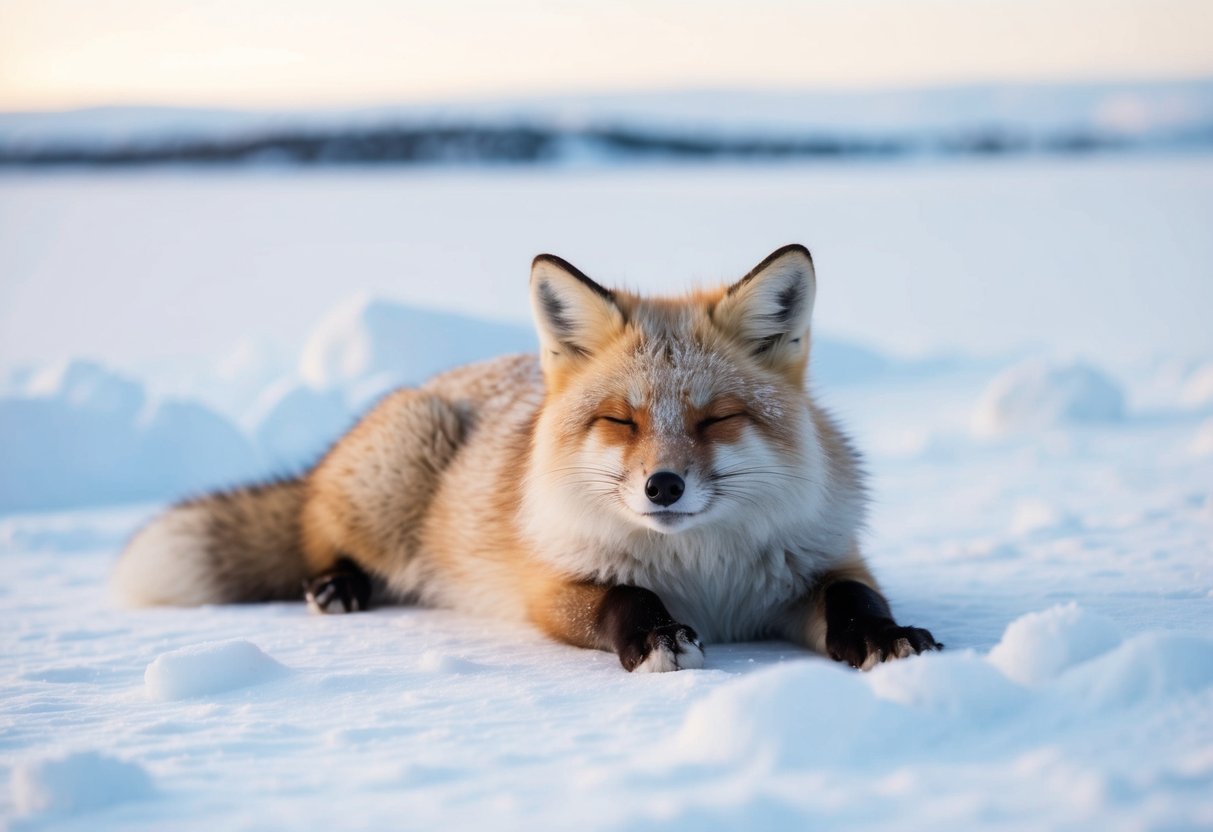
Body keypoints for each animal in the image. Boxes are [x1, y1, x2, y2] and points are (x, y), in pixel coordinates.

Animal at [113, 244, 940, 672]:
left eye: (715, 419)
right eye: (619, 419)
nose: (662, 486)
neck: (703, 574)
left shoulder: (820, 563)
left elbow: (854, 597)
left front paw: (884, 636)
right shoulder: (547, 586)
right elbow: (624, 598)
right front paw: (655, 636)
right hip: (398, 468)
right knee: (320, 536)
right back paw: (338, 586)